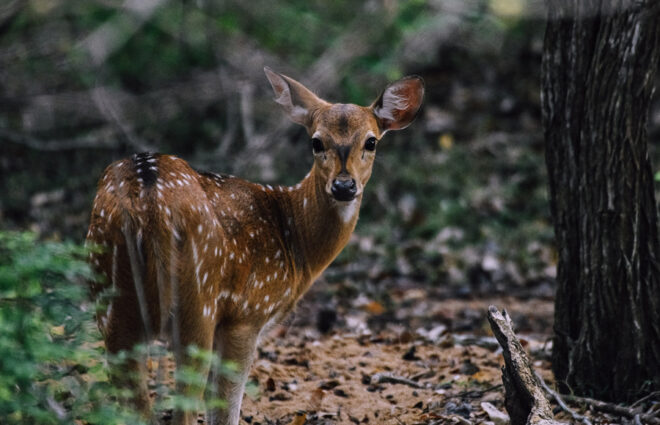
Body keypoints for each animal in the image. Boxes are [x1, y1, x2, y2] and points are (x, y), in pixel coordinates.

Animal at [87, 68, 422, 422]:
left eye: (371, 141)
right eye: (316, 141)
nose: (344, 186)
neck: (293, 241)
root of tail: (147, 203)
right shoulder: (247, 313)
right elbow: (225, 406)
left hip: (111, 297)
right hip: (197, 301)